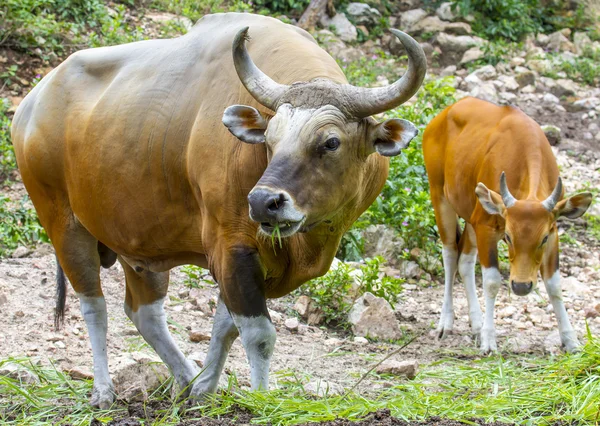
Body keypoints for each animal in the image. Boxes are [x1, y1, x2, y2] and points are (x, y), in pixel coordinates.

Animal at [12, 12, 426, 406]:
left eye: (331, 142)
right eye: (270, 139)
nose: (262, 202)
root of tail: (30, 107)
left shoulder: (238, 256)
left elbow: (225, 326)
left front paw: (205, 388)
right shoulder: (230, 244)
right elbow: (257, 333)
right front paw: (261, 398)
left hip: (136, 242)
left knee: (145, 313)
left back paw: (184, 378)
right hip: (62, 224)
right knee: (94, 306)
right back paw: (103, 390)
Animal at [424, 96, 592, 352]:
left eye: (542, 238)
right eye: (509, 236)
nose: (521, 287)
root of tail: (441, 116)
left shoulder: (553, 232)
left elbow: (554, 285)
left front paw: (571, 341)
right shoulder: (485, 226)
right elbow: (492, 281)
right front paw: (489, 341)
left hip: (470, 217)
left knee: (465, 260)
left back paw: (476, 324)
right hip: (439, 196)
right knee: (450, 255)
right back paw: (446, 322)